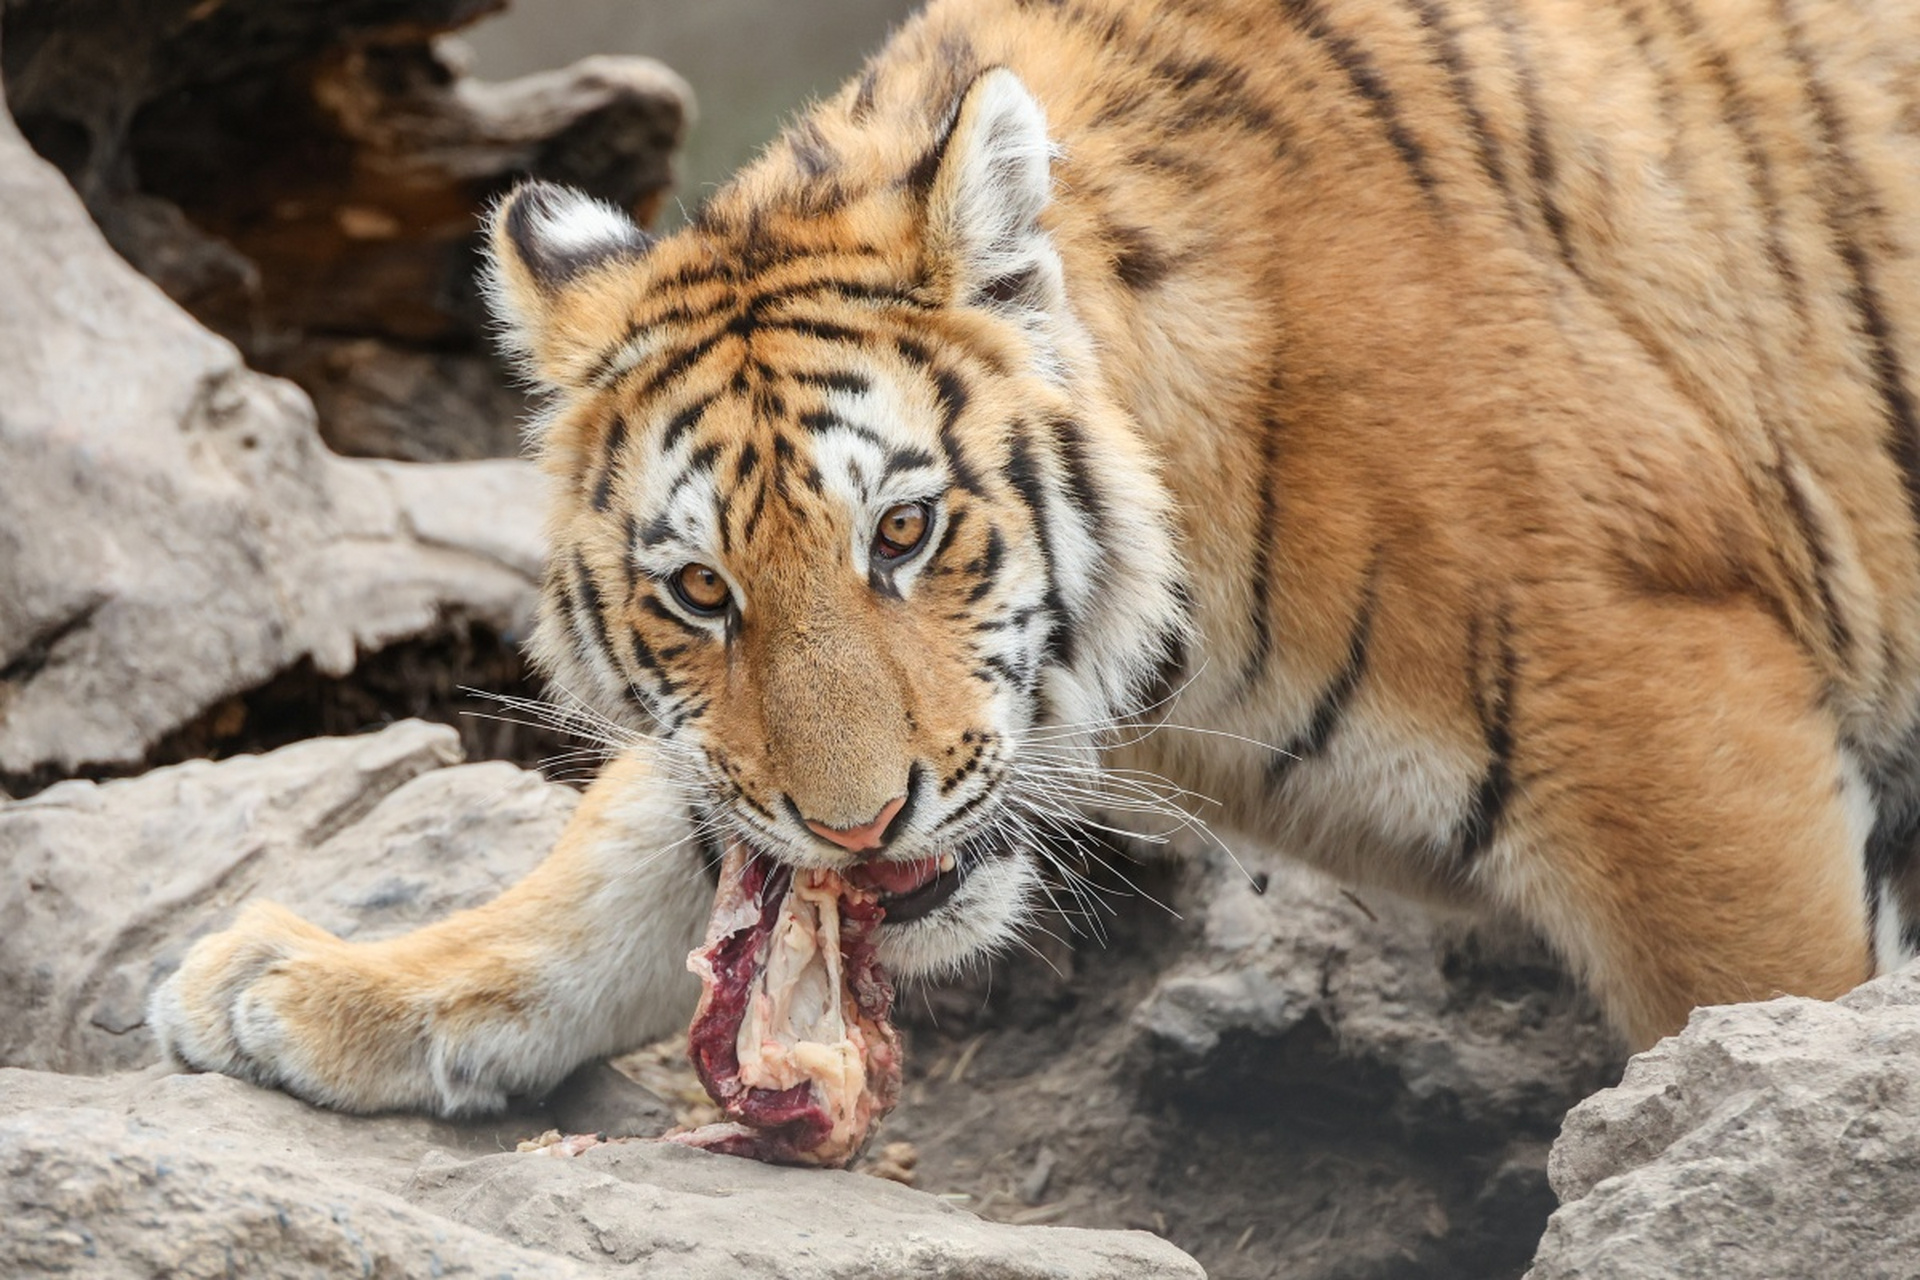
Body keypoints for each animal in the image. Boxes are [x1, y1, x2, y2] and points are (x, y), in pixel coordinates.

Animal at [149, 0, 1920, 1120]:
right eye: (701, 591)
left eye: (905, 530)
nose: (858, 830)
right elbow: (635, 853)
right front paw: (332, 989)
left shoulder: (1678, 726)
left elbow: (1743, 1022)